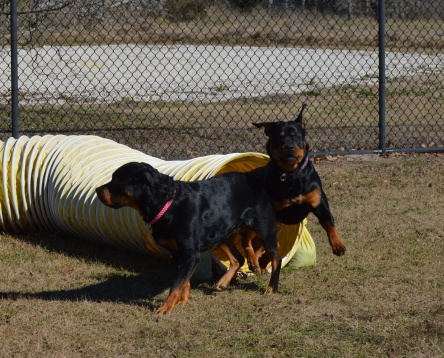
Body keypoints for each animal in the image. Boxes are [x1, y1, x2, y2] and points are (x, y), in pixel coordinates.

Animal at [96, 164, 280, 314]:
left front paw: (166, 308)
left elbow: (176, 284)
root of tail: (253, 177)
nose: (97, 190)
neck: (167, 204)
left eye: (116, 180)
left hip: (265, 230)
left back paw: (271, 287)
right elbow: (184, 282)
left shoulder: (191, 255)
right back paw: (224, 281)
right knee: (238, 258)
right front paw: (182, 301)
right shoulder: (178, 254)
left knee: (275, 259)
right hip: (220, 232)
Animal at [245, 105, 346, 272]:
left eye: (296, 136)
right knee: (247, 239)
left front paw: (338, 245)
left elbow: (330, 223)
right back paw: (253, 261)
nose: (289, 146)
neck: (291, 174)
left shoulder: (319, 203)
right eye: (279, 137)